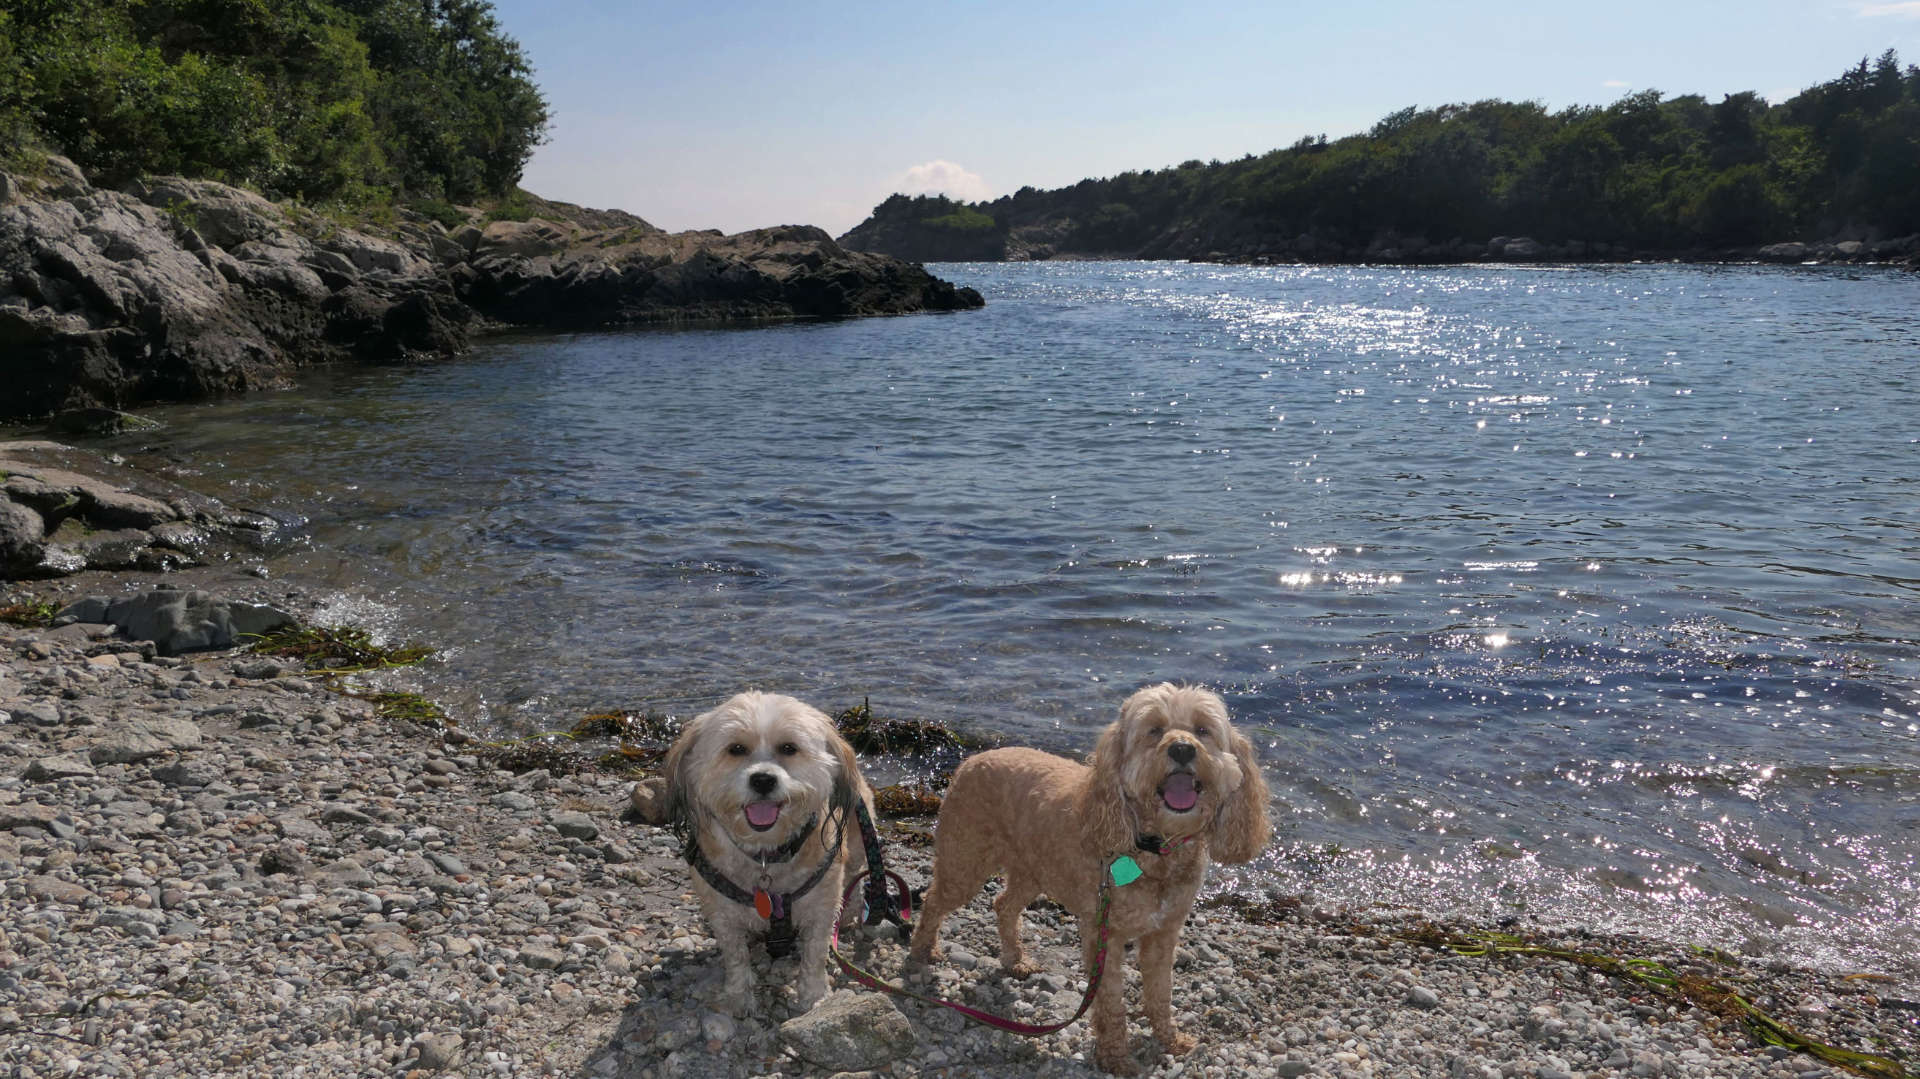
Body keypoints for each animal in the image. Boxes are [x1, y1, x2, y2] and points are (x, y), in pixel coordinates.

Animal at [660, 687, 871, 1006]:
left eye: (788, 748)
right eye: (736, 749)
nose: (762, 779)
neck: (766, 854)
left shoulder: (820, 908)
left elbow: (814, 954)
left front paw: (812, 997)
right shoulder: (723, 914)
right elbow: (735, 956)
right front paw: (738, 996)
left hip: (859, 842)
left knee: (856, 876)